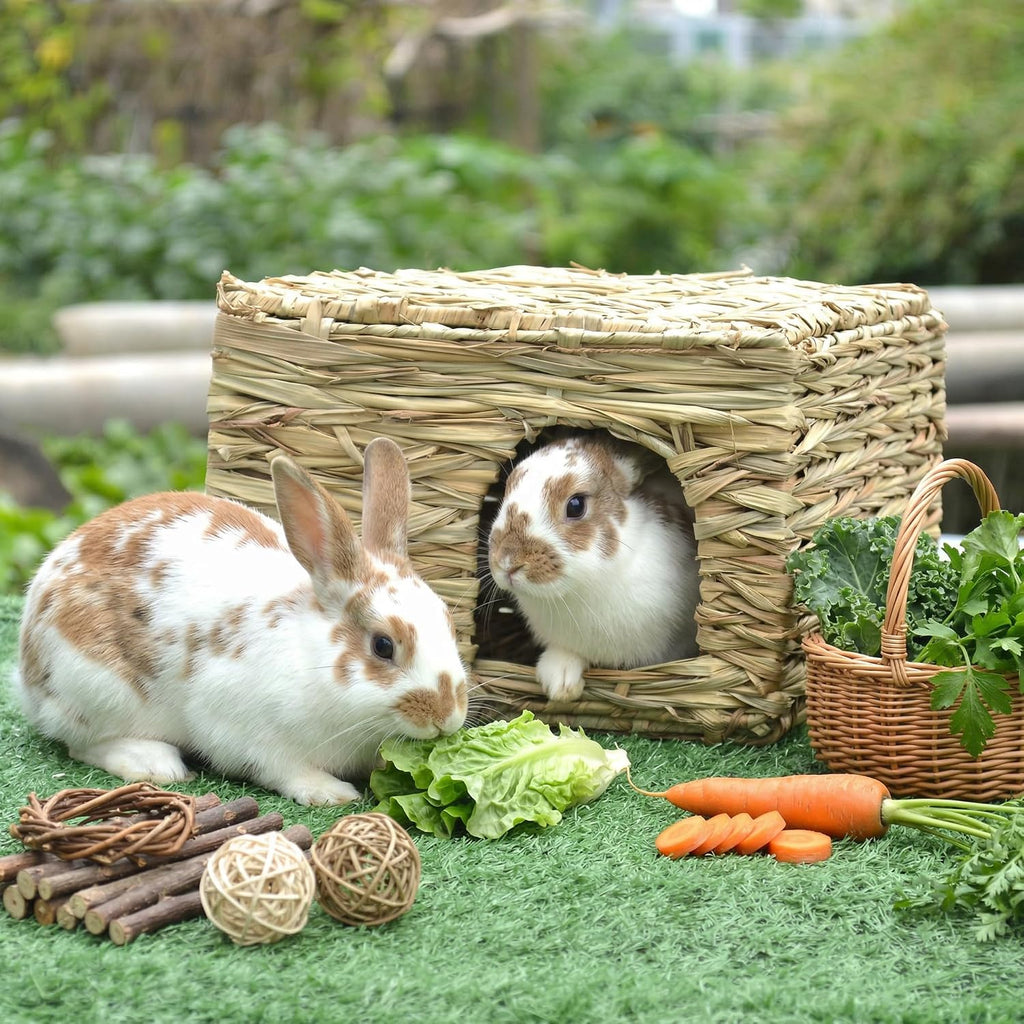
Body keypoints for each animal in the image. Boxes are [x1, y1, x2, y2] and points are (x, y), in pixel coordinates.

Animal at [13, 437, 468, 805]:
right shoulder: (244, 731)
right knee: (81, 742)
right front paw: (330, 792)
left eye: (449, 622)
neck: (312, 658)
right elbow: (282, 769)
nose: (447, 716)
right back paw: (156, 764)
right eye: (383, 646)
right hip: (96, 687)